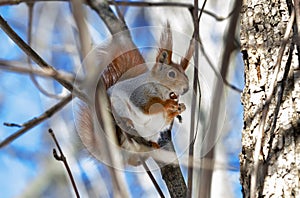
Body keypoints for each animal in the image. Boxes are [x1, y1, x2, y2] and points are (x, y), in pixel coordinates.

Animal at [78, 22, 193, 166]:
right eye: (171, 74)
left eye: (186, 76)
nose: (186, 88)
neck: (160, 91)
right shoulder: (138, 94)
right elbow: (148, 106)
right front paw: (167, 104)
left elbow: (165, 119)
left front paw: (180, 108)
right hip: (116, 109)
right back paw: (127, 124)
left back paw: (151, 146)